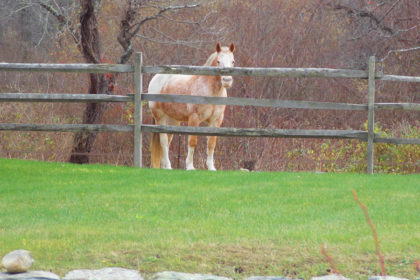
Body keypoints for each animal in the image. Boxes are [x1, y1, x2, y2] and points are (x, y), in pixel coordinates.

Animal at [148, 42, 235, 170]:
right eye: (218, 61)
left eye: (233, 61)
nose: (227, 80)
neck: (210, 91)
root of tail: (156, 78)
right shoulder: (194, 118)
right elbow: (192, 141)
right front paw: (189, 166)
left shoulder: (216, 120)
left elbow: (211, 143)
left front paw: (211, 167)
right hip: (160, 117)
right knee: (163, 141)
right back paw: (168, 166)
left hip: (173, 121)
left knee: (167, 141)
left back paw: (165, 166)